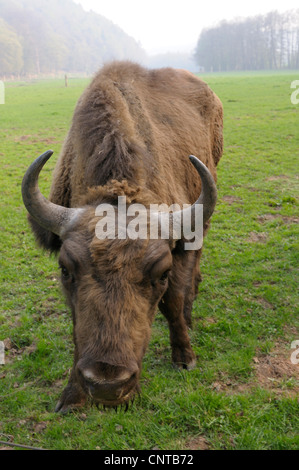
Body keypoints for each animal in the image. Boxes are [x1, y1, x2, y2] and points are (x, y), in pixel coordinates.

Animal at [21, 60, 223, 414]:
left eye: (162, 273)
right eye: (65, 269)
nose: (108, 385)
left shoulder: (180, 245)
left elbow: (172, 301)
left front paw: (185, 357)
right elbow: (77, 326)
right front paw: (71, 396)